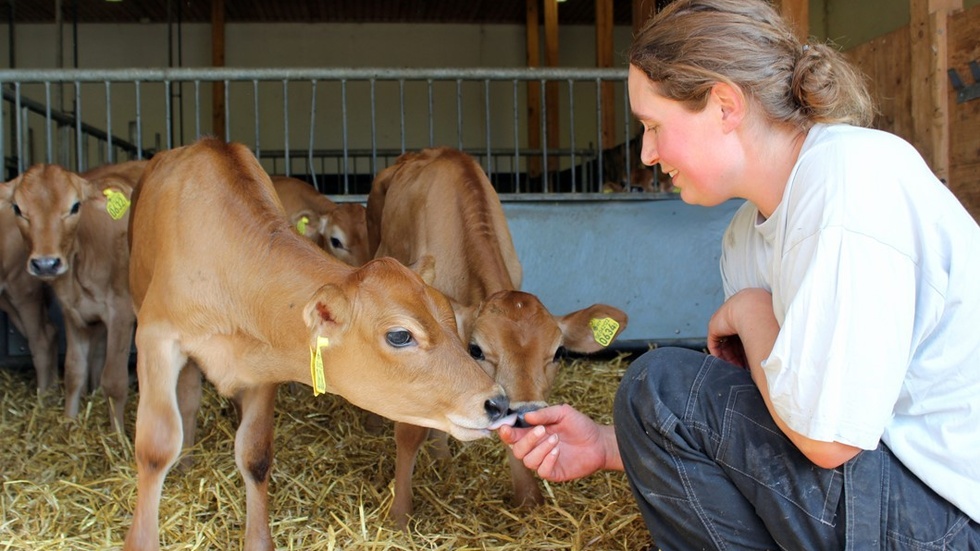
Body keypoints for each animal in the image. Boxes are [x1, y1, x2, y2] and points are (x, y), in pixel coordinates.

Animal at [122, 139, 506, 551]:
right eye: (399, 335)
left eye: (452, 322)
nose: (497, 402)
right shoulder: (155, 338)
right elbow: (155, 447)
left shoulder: (262, 363)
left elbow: (256, 453)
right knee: (188, 398)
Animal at [366, 148, 628, 532]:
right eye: (476, 349)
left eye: (558, 353)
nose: (528, 414)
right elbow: (409, 431)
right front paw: (400, 516)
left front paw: (529, 499)